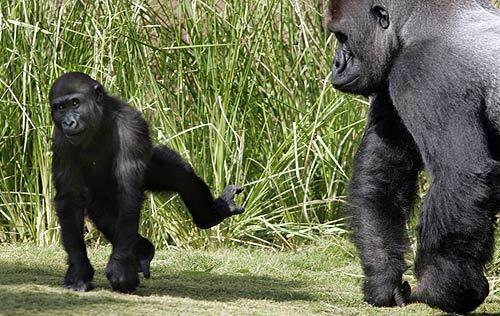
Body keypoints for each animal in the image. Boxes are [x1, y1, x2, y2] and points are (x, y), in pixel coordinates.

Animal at [49, 72, 245, 294]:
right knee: (104, 213)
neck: (99, 121)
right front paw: (79, 269)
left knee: (180, 176)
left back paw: (209, 216)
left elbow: (129, 193)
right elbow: (70, 198)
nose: (68, 122)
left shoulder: (130, 127)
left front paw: (120, 267)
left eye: (75, 103)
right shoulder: (61, 140)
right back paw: (143, 250)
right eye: (60, 108)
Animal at [326, 0, 498, 314]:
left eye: (342, 37)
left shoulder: (419, 71)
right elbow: (384, 174)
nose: (336, 64)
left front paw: (444, 288)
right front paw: (383, 278)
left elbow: (460, 176)